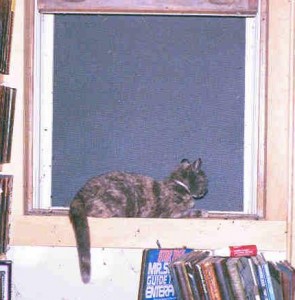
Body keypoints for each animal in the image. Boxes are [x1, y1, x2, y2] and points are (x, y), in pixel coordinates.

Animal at [69, 159, 208, 284]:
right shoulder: (171, 214)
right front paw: (203, 212)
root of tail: (81, 191)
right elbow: (189, 212)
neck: (179, 184)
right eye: (203, 180)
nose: (205, 191)